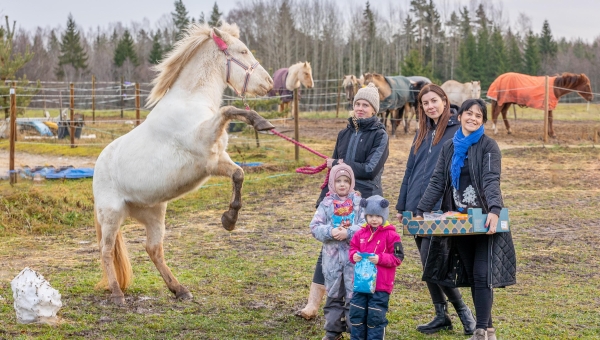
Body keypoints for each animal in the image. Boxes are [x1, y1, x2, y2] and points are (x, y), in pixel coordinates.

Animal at [92, 23, 276, 306]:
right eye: (243, 51)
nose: (269, 83)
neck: (191, 102)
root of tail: (97, 167)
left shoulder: (215, 159)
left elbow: (238, 174)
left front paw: (229, 220)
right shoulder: (205, 146)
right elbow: (228, 110)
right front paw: (261, 122)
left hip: (154, 213)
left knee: (153, 249)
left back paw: (179, 289)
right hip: (111, 215)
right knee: (106, 250)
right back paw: (117, 294)